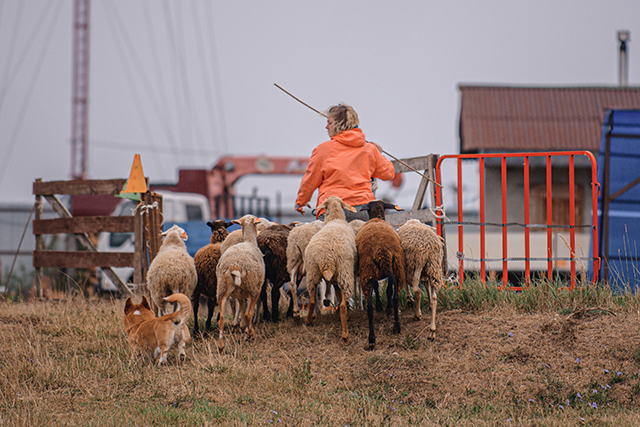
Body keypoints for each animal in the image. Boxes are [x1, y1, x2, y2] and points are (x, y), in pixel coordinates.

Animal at [216, 214, 264, 352]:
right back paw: (251, 335)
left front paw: (241, 327)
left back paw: (221, 346)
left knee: (221, 318)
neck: (249, 240)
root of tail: (234, 266)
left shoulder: (240, 295)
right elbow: (245, 312)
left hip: (222, 289)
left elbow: (241, 308)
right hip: (253, 288)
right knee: (249, 314)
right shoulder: (252, 290)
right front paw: (246, 331)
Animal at [302, 197, 358, 344]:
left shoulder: (333, 278)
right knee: (343, 305)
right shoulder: (338, 276)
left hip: (312, 272)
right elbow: (339, 295)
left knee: (312, 300)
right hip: (345, 271)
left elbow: (337, 293)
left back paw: (308, 321)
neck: (335, 218)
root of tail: (325, 257)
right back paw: (345, 335)